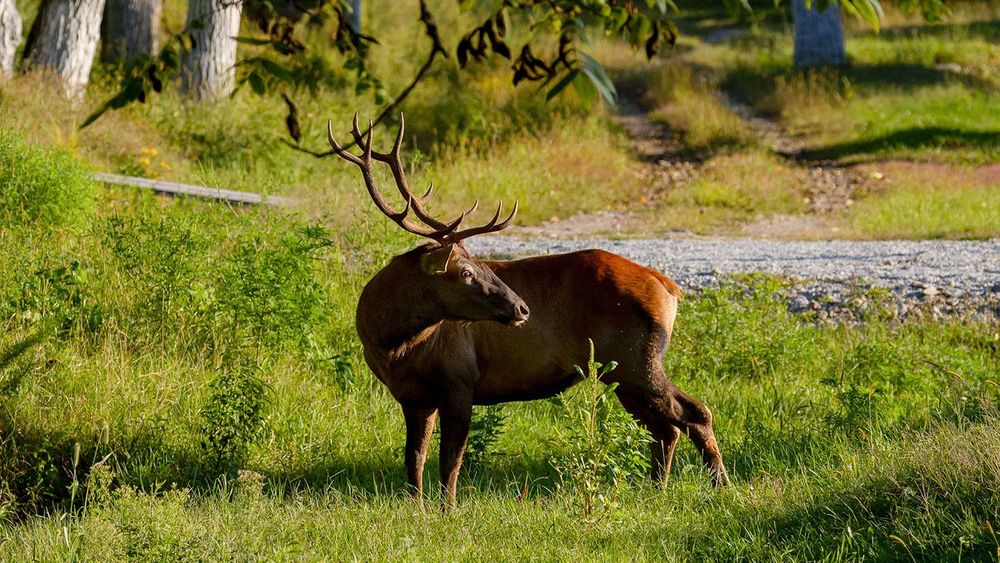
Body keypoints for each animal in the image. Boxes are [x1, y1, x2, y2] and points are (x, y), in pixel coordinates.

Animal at [328, 115, 730, 506]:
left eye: (480, 264)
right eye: (467, 271)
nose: (522, 307)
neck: (391, 345)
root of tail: (669, 287)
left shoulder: (459, 380)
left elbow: (450, 461)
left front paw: (448, 511)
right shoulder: (413, 397)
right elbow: (413, 462)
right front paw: (418, 509)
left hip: (637, 359)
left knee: (693, 412)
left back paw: (720, 486)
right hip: (620, 372)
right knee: (664, 427)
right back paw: (658, 488)